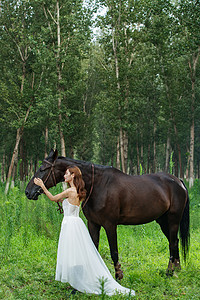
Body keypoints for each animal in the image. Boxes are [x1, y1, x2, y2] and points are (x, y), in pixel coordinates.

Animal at [25, 149, 190, 278]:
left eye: (43, 169)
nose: (28, 192)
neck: (98, 185)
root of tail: (178, 181)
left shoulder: (110, 225)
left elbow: (114, 251)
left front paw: (118, 276)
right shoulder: (93, 224)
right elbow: (93, 248)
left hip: (173, 220)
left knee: (172, 242)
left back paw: (170, 272)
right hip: (162, 221)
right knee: (174, 241)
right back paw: (177, 269)